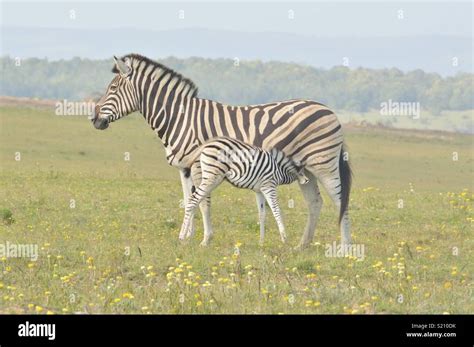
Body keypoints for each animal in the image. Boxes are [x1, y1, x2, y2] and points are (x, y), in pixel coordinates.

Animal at [180, 137, 310, 246]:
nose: (307, 180)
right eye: (302, 171)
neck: (279, 170)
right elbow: (276, 210)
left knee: (198, 202)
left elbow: (262, 214)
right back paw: (182, 236)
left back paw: (196, 237)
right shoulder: (269, 186)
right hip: (212, 176)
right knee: (193, 200)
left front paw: (261, 241)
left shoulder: (259, 191)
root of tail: (207, 144)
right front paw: (284, 238)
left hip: (206, 177)